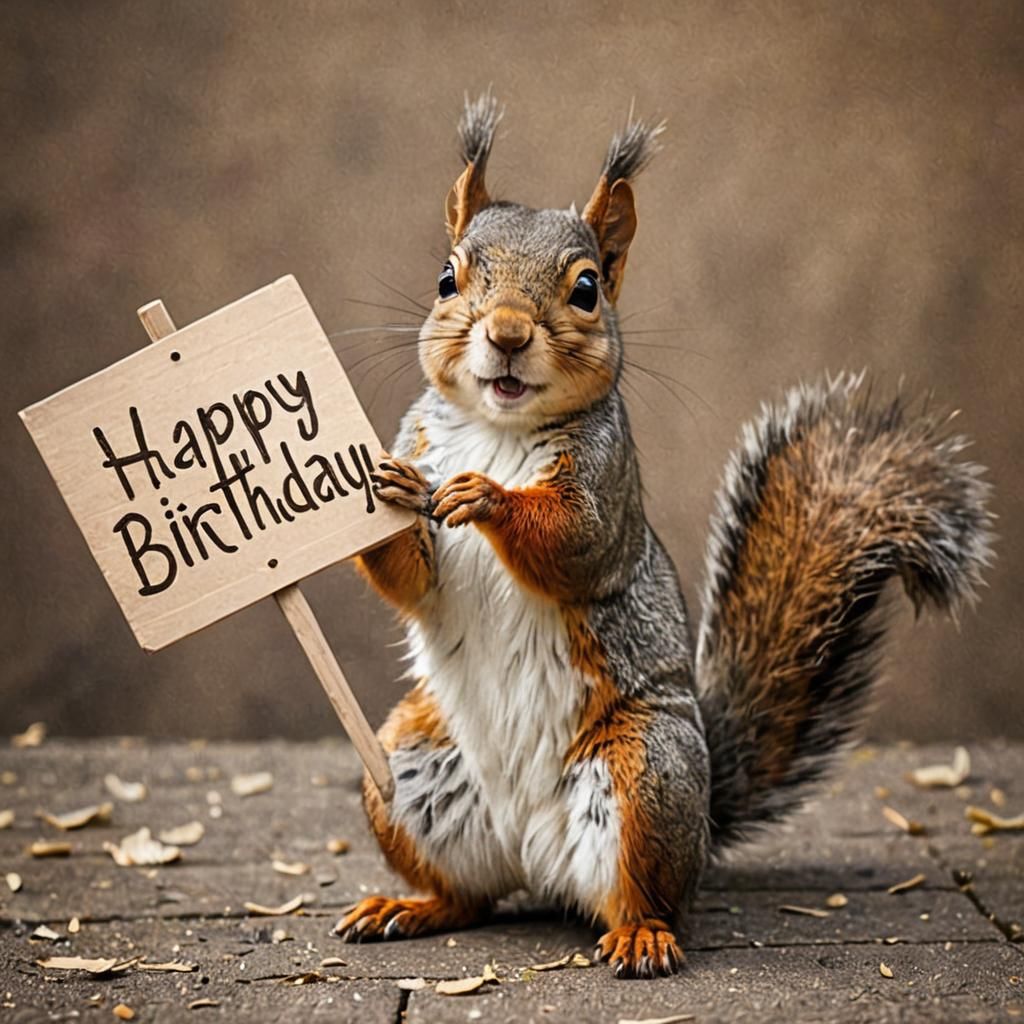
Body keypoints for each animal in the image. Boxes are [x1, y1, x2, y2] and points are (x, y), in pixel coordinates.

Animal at [333, 93, 994, 978]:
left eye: (585, 289)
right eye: (446, 277)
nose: (506, 333)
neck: (497, 431)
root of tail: (537, 858)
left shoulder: (606, 493)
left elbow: (570, 544)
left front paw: (489, 498)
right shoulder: (424, 448)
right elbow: (414, 575)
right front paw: (388, 489)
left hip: (647, 770)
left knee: (642, 894)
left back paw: (642, 935)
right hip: (404, 764)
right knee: (469, 896)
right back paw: (409, 905)